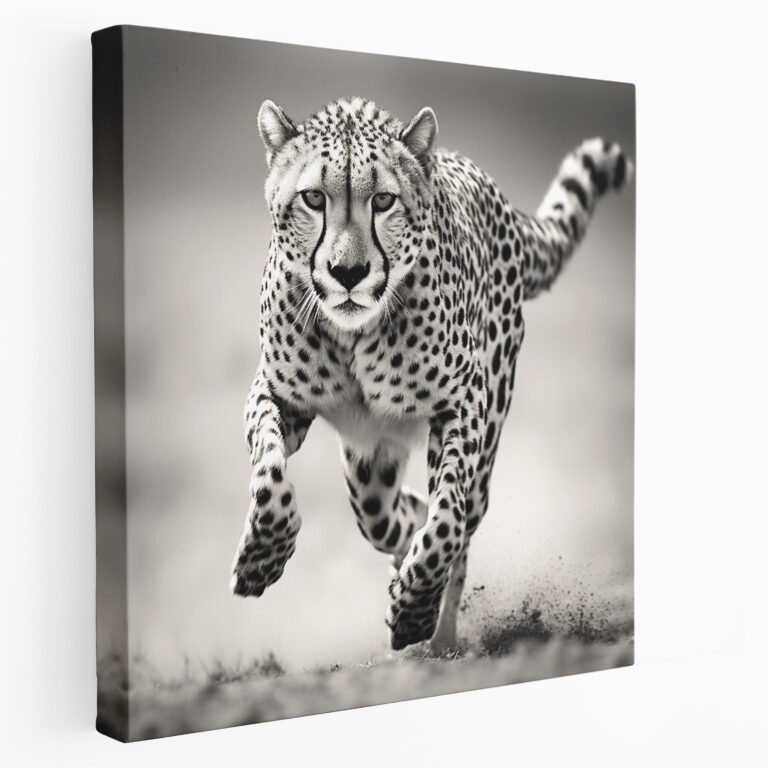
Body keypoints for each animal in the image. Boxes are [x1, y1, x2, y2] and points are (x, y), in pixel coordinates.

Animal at [230, 96, 632, 653]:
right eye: (312, 198)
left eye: (383, 201)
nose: (348, 274)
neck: (355, 334)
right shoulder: (275, 394)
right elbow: (269, 473)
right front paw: (260, 558)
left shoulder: (462, 402)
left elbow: (448, 519)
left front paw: (414, 610)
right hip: (369, 466)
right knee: (388, 517)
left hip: (484, 439)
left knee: (457, 526)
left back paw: (438, 634)